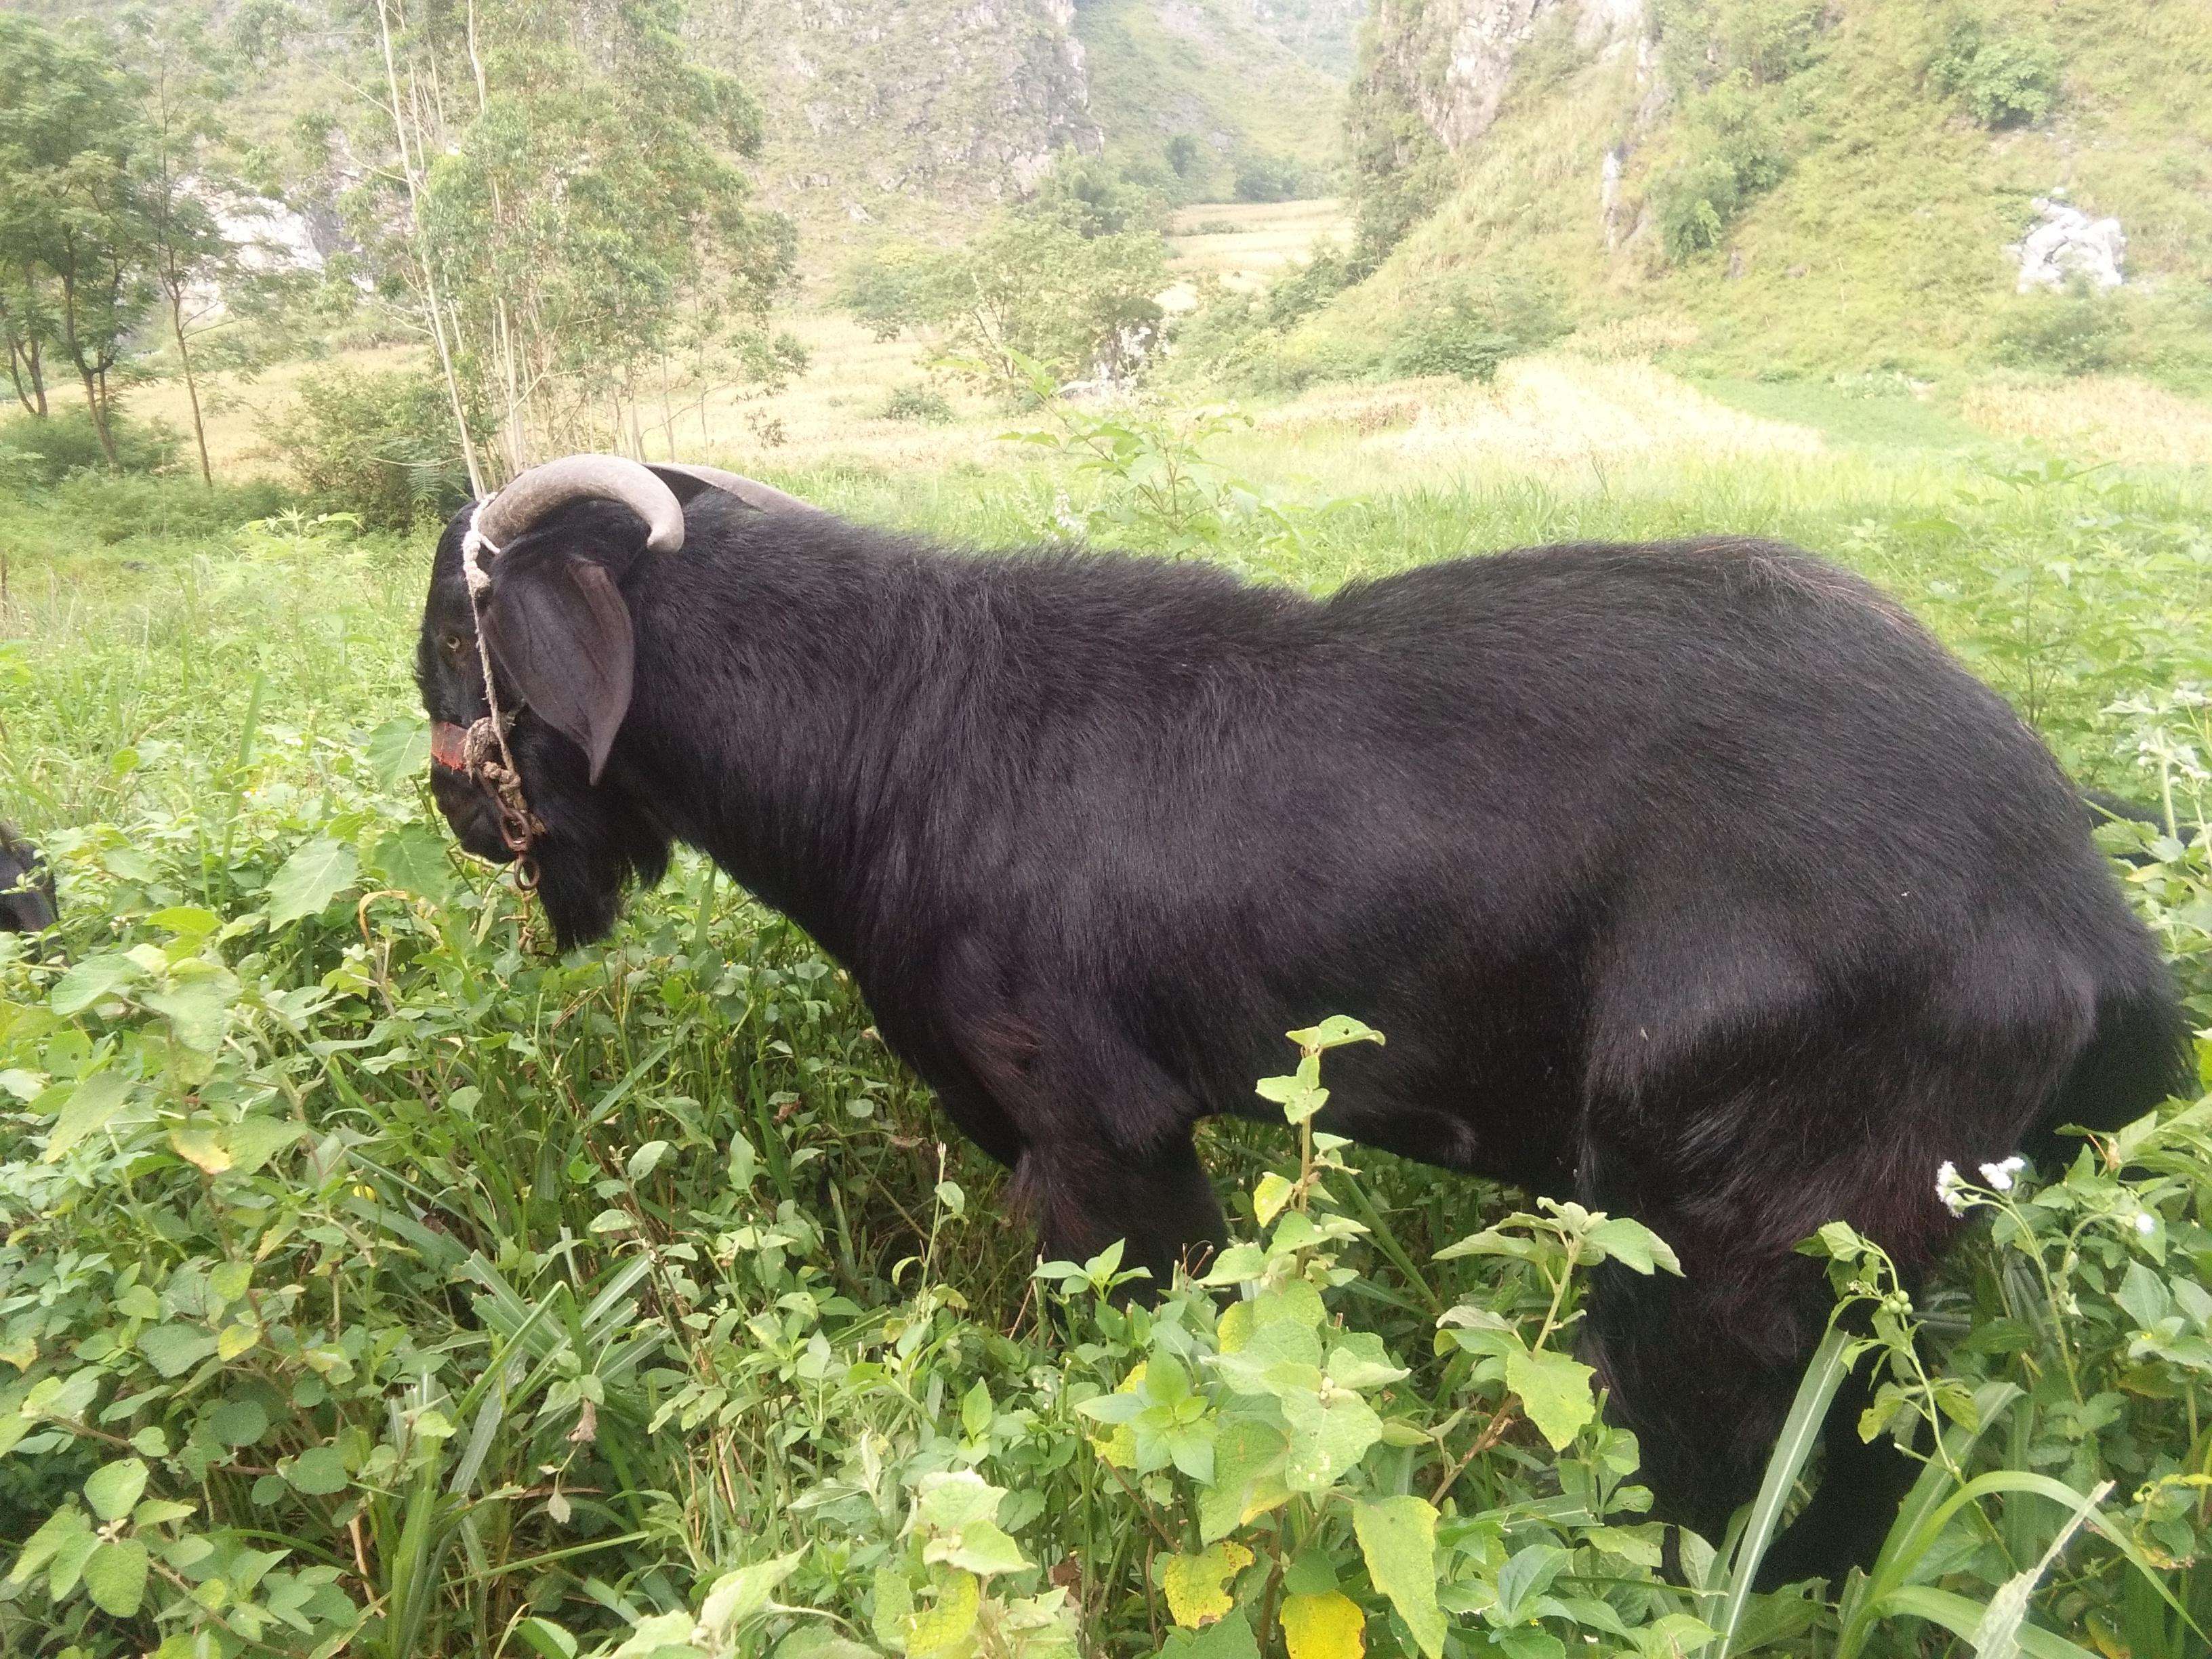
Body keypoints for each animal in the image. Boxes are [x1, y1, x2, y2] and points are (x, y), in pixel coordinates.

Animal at [417, 455, 2194, 1584]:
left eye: (453, 647)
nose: (458, 816)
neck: (897, 734)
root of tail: (2076, 900)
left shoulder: (1098, 1134)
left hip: (1722, 1235)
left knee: (1747, 1501)